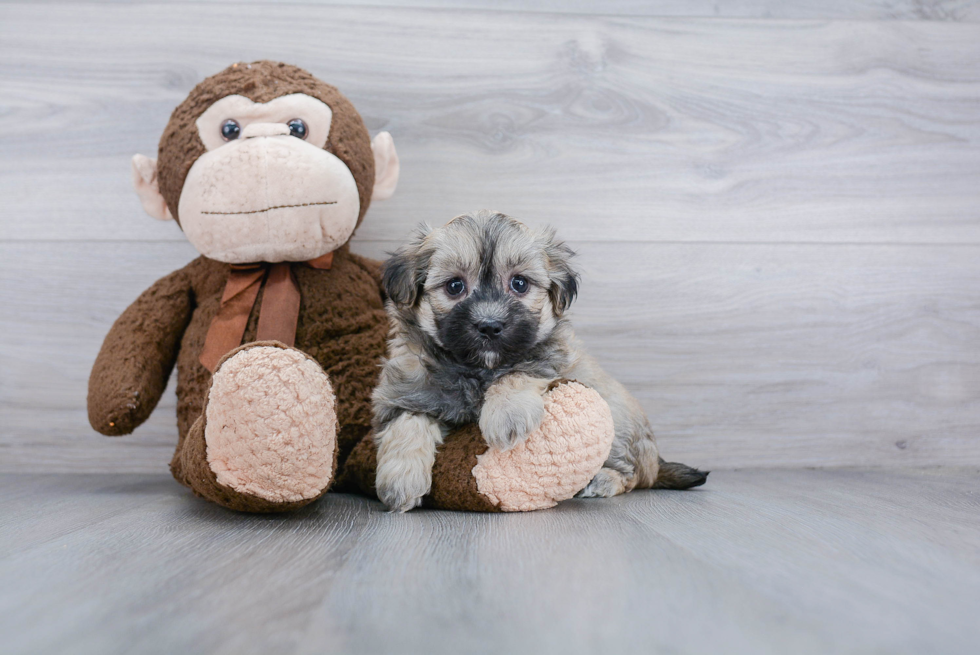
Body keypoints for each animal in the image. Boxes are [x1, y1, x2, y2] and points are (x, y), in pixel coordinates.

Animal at [370, 210, 704, 512]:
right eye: (454, 286)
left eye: (519, 283)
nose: (489, 325)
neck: (480, 370)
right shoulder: (405, 394)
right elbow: (408, 422)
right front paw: (401, 480)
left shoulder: (550, 359)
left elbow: (519, 371)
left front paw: (507, 413)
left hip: (617, 419)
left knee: (633, 475)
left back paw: (604, 480)